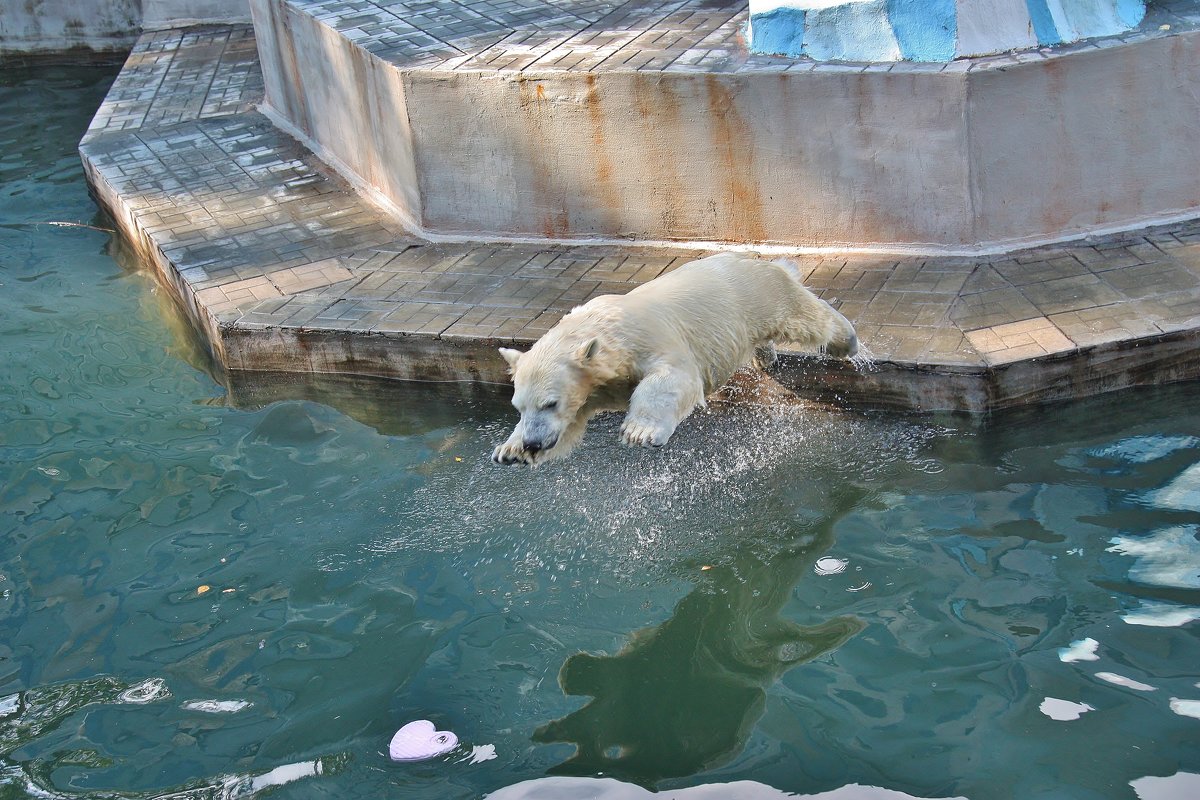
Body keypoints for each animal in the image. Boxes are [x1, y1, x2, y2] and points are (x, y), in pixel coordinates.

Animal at [492, 253, 859, 465]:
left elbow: (674, 377)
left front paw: (639, 431)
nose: (533, 442)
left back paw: (847, 342)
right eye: (518, 406)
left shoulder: (648, 338)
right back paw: (764, 357)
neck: (607, 329)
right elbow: (573, 421)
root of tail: (756, 260)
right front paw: (509, 450)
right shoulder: (592, 386)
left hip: (759, 294)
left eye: (550, 403)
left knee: (806, 314)